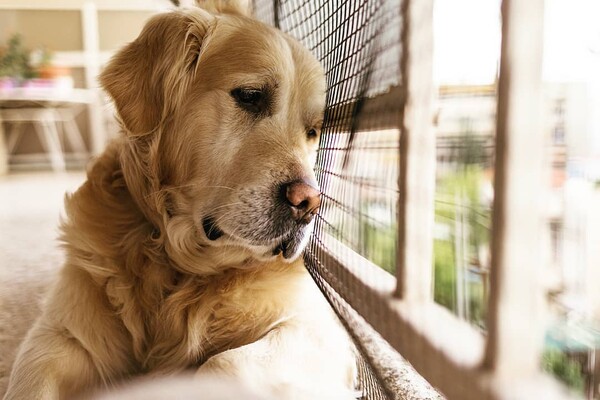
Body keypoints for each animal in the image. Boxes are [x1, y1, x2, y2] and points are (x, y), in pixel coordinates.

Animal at [3, 1, 356, 398]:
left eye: (312, 132)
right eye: (251, 96)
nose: (309, 203)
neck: (177, 264)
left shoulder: (318, 331)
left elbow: (222, 363)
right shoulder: (60, 337)